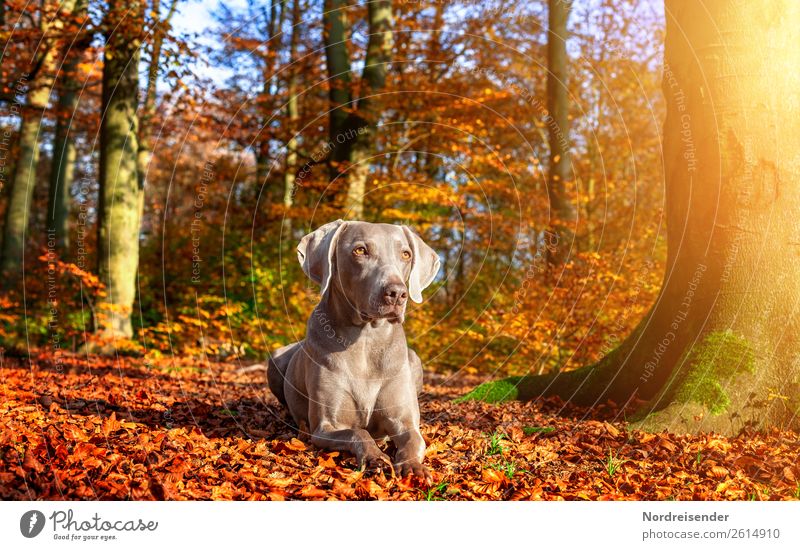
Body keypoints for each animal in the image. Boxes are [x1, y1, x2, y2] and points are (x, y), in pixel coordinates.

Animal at [270, 221, 444, 484]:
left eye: (406, 254)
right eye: (360, 251)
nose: (397, 293)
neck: (365, 341)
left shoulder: (405, 422)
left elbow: (413, 441)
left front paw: (413, 467)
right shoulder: (326, 427)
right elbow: (358, 432)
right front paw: (375, 458)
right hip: (275, 359)